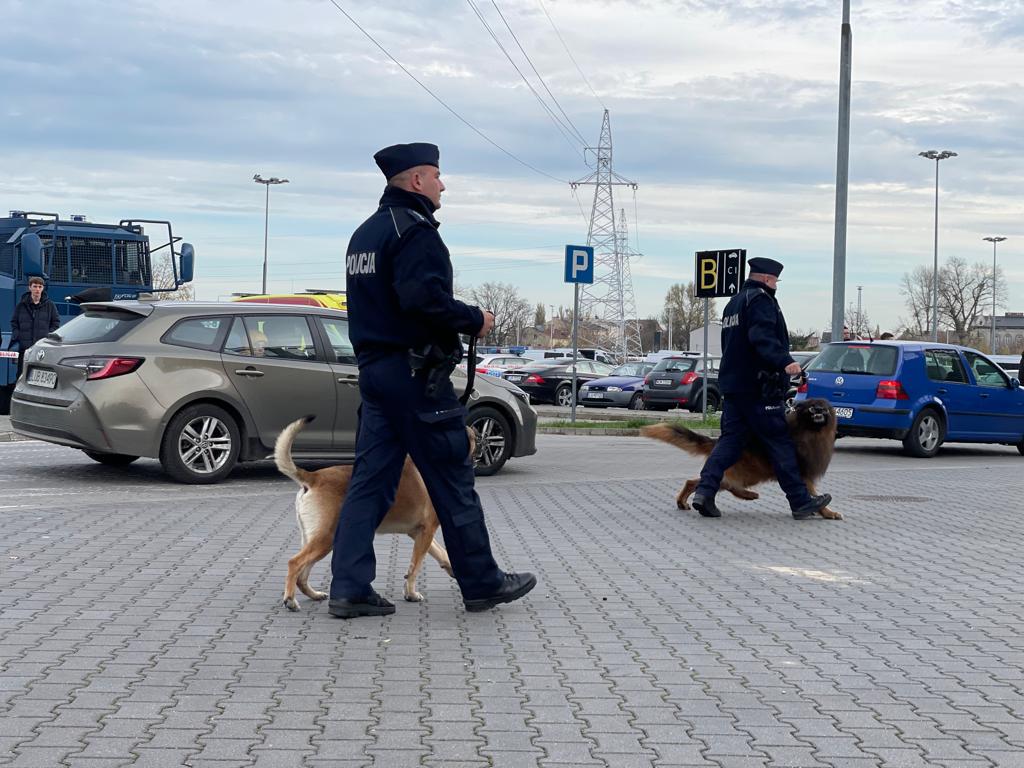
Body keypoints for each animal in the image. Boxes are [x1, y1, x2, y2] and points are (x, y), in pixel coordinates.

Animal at [272, 417, 464, 610]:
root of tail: (314, 477)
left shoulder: (419, 532)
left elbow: (440, 553)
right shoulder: (427, 531)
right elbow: (415, 567)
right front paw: (411, 594)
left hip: (314, 539)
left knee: (302, 575)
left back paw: (314, 594)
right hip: (326, 539)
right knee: (294, 563)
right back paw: (290, 600)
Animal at [331, 144, 540, 618]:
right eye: (435, 175)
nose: (441, 186)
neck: (392, 205)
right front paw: (491, 584)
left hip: (378, 423)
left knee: (362, 498)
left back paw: (352, 596)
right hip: (428, 418)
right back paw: (491, 587)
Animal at [647, 397, 839, 524]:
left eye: (823, 409)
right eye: (812, 409)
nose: (819, 411)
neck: (810, 431)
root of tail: (717, 442)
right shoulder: (801, 474)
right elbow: (810, 492)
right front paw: (825, 511)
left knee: (698, 482)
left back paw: (685, 502)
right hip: (748, 472)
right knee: (722, 484)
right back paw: (747, 495)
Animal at [692, 260, 827, 524]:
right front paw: (809, 503)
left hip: (734, 413)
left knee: (722, 452)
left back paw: (704, 501)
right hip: (763, 418)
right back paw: (804, 504)